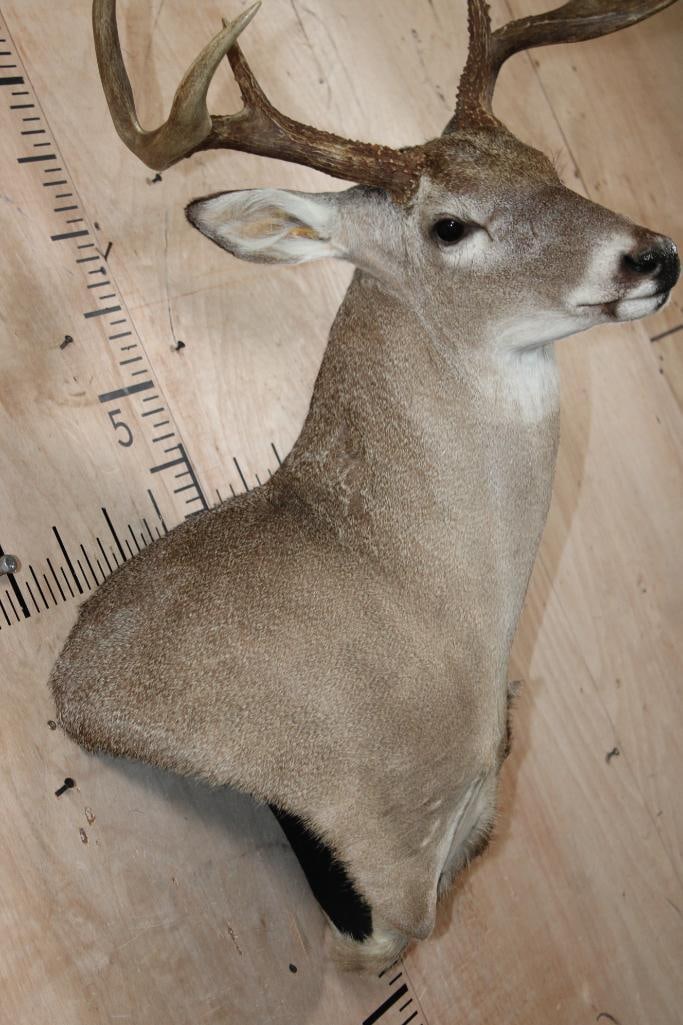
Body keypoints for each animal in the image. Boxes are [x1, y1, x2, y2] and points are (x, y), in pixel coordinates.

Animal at [50, 0, 679, 973]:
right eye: (449, 226)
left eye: (544, 163)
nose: (652, 256)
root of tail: (63, 683)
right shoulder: (386, 842)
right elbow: (388, 934)